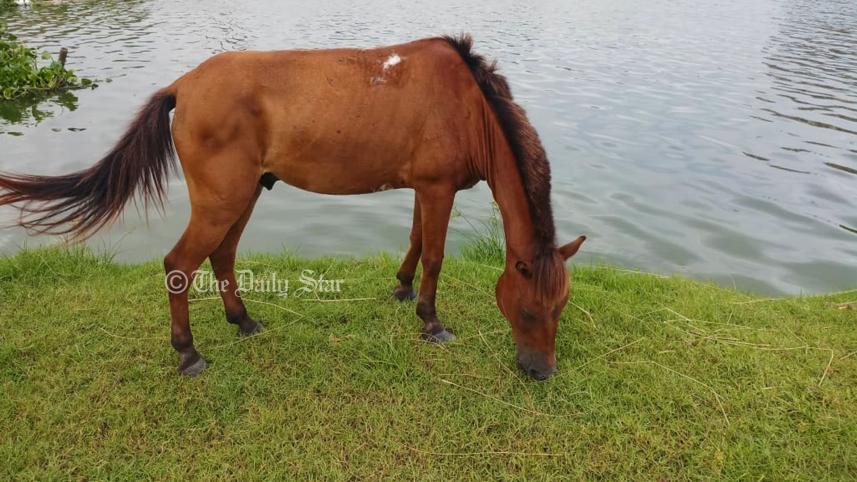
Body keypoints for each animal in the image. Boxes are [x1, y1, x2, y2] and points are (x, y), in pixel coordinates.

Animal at [0, 34, 585, 380]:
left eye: (560, 309)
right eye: (528, 310)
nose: (541, 371)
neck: (467, 104)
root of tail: (182, 87)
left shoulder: (425, 188)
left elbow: (418, 241)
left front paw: (401, 288)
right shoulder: (438, 188)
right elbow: (436, 256)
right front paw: (431, 321)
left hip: (243, 195)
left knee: (222, 257)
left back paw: (242, 321)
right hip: (221, 201)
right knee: (179, 265)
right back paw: (188, 353)